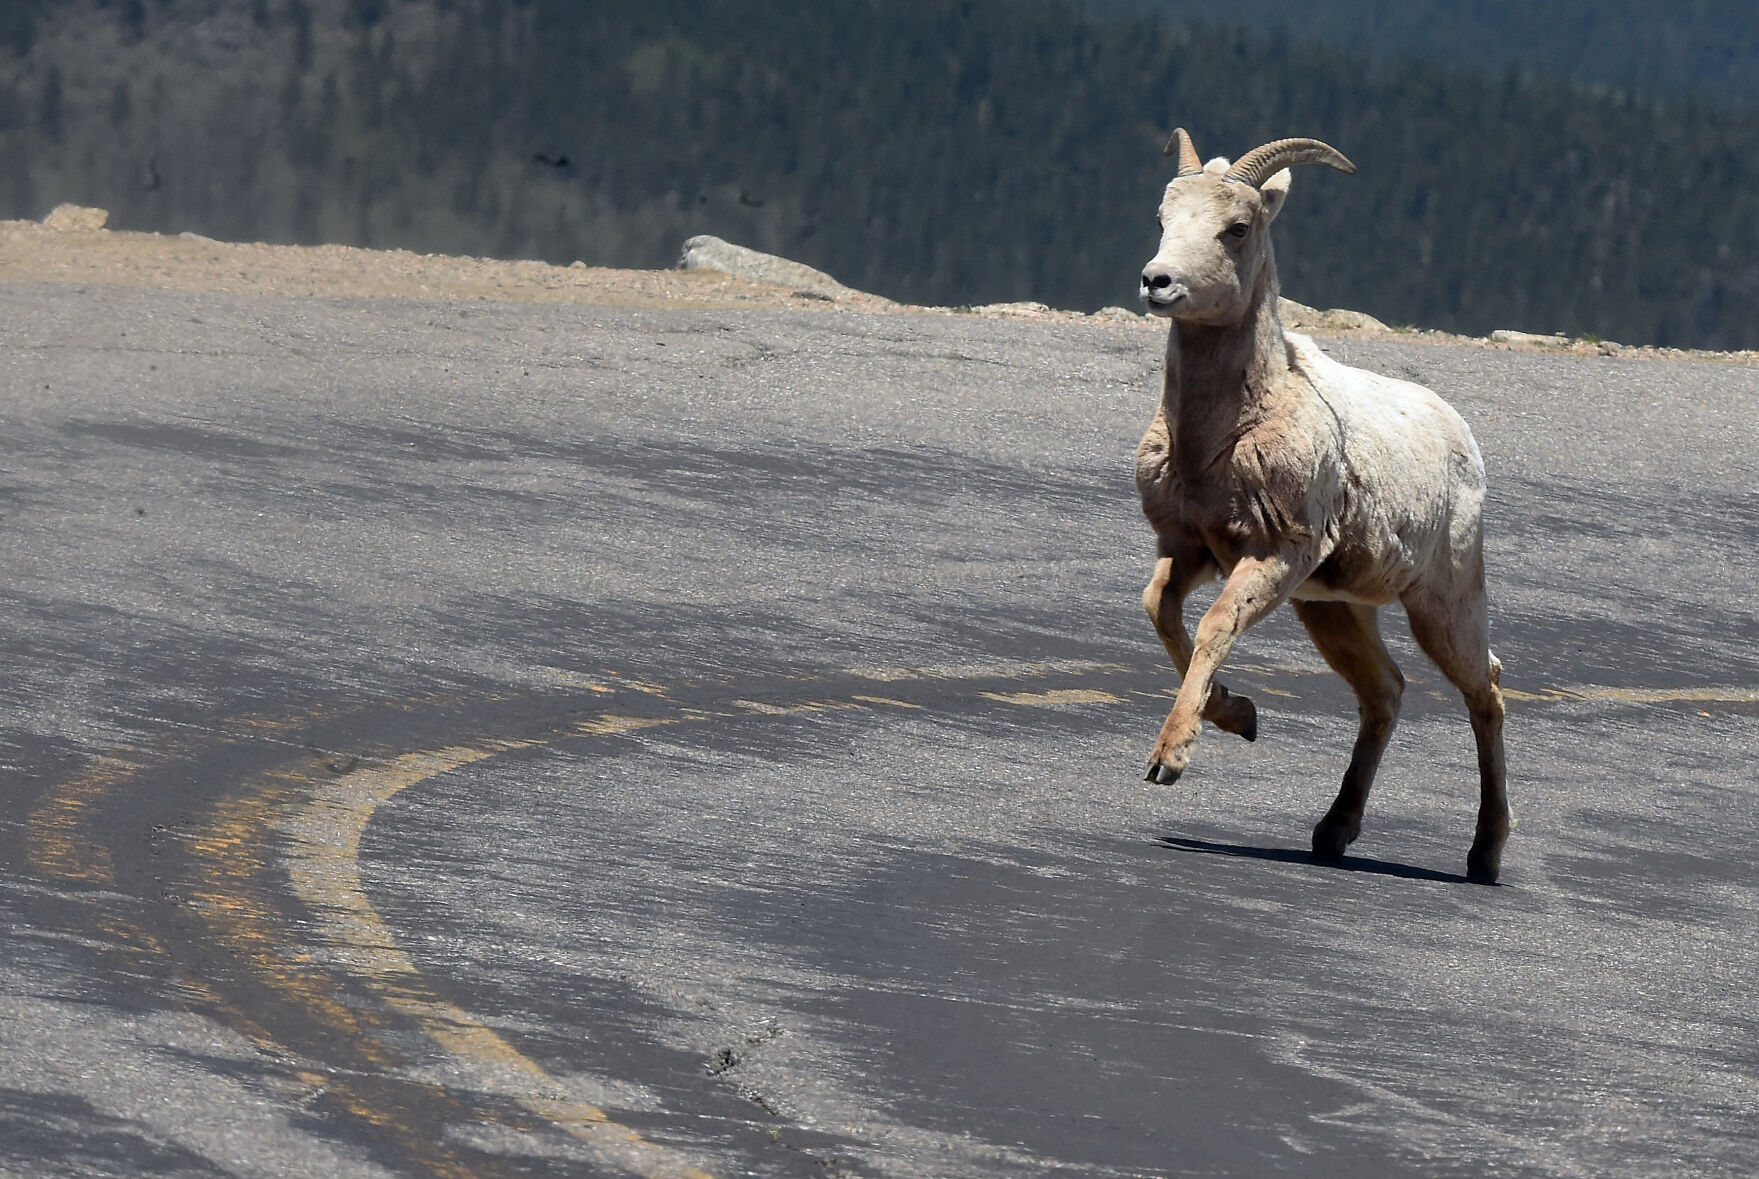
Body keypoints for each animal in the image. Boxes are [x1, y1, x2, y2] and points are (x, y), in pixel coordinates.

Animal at [1133, 129, 1509, 884]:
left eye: (1236, 228)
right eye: (1163, 217)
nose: (1158, 282)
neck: (1218, 437)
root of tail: (1460, 434)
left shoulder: (1274, 556)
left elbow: (1213, 627)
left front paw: (1169, 760)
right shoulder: (1190, 549)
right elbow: (1160, 610)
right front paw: (1241, 716)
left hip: (1443, 600)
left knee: (1483, 690)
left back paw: (1484, 855)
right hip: (1334, 608)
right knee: (1385, 690)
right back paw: (1332, 831)